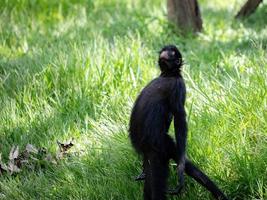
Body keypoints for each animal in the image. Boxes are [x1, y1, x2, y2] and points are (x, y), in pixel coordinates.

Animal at [129, 45, 229, 200]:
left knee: (158, 184)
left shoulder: (179, 85)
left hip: (160, 149)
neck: (168, 75)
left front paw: (180, 173)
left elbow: (179, 120)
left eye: (171, 52)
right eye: (165, 50)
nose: (164, 53)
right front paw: (143, 169)